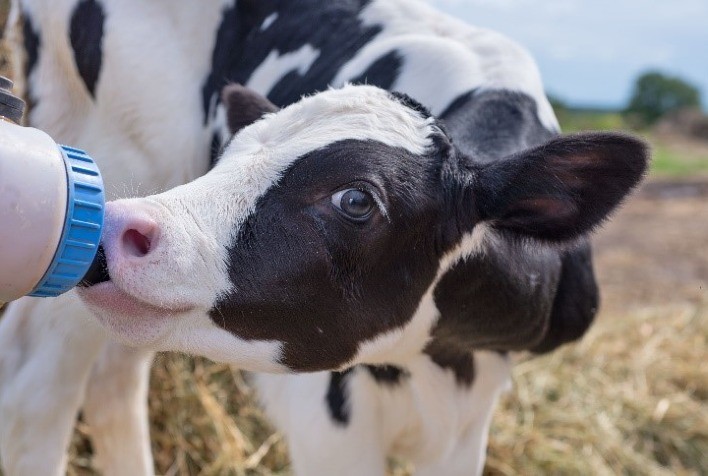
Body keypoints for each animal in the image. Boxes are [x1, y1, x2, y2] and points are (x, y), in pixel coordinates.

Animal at [0, 1, 647, 475]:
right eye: (227, 153)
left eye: (356, 199)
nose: (119, 225)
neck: (438, 361)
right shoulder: (328, 422)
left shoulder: (470, 416)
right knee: (37, 391)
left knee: (112, 381)